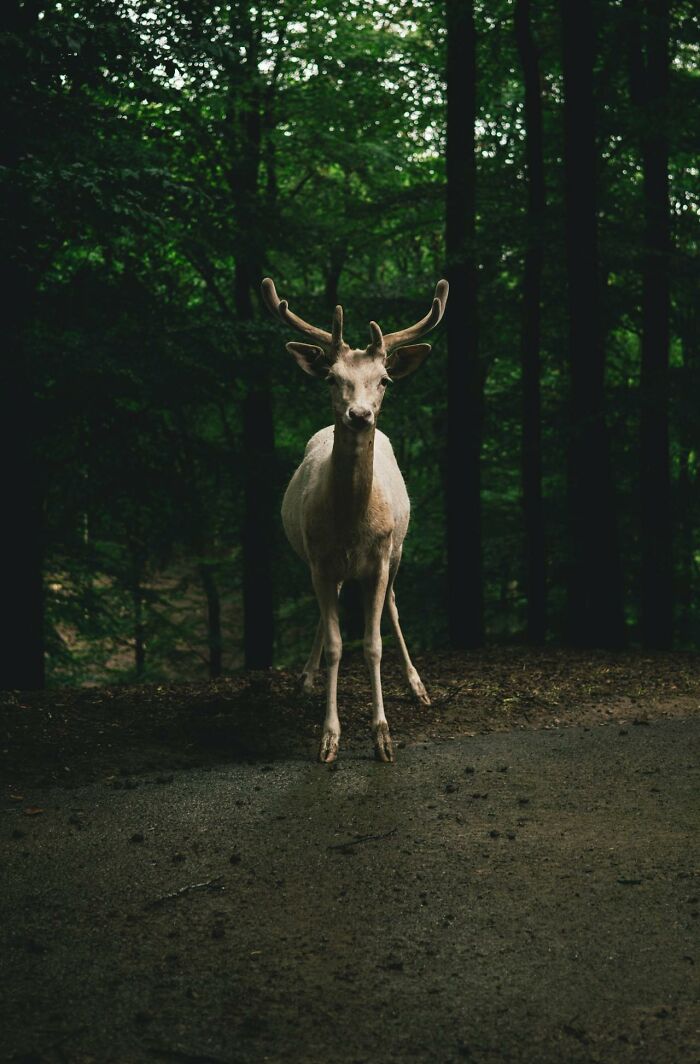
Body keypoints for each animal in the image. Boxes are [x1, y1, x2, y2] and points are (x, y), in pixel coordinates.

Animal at [262, 276, 449, 764]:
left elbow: (373, 643)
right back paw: (305, 679)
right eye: (332, 377)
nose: (360, 415)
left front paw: (383, 735)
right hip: (317, 562)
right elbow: (335, 645)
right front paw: (329, 737)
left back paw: (418, 686)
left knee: (394, 607)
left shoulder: (380, 559)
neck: (350, 526)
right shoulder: (320, 561)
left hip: (399, 550)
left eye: (383, 379)